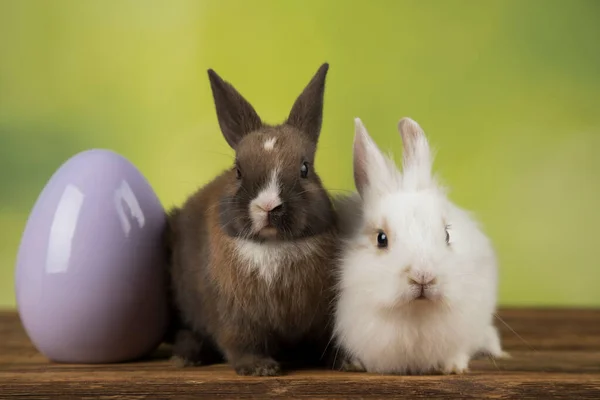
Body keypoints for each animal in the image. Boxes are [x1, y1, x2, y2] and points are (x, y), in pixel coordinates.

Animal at [168, 64, 342, 376]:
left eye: (305, 168)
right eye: (237, 171)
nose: (268, 205)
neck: (273, 246)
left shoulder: (325, 313)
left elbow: (329, 338)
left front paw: (348, 361)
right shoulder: (234, 317)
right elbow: (241, 343)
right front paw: (260, 368)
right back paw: (185, 356)